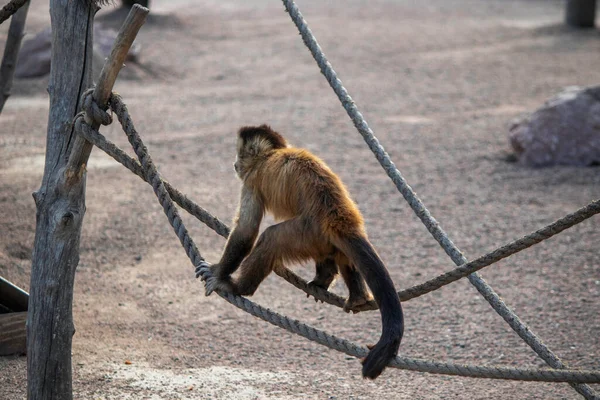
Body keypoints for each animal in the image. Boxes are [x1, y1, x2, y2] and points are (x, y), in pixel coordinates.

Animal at [202, 124, 404, 378]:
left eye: (240, 154)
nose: (234, 164)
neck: (272, 153)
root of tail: (338, 218)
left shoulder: (252, 178)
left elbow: (246, 230)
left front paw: (219, 273)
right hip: (322, 236)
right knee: (342, 253)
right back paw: (352, 295)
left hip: (307, 233)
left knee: (271, 238)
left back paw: (239, 287)